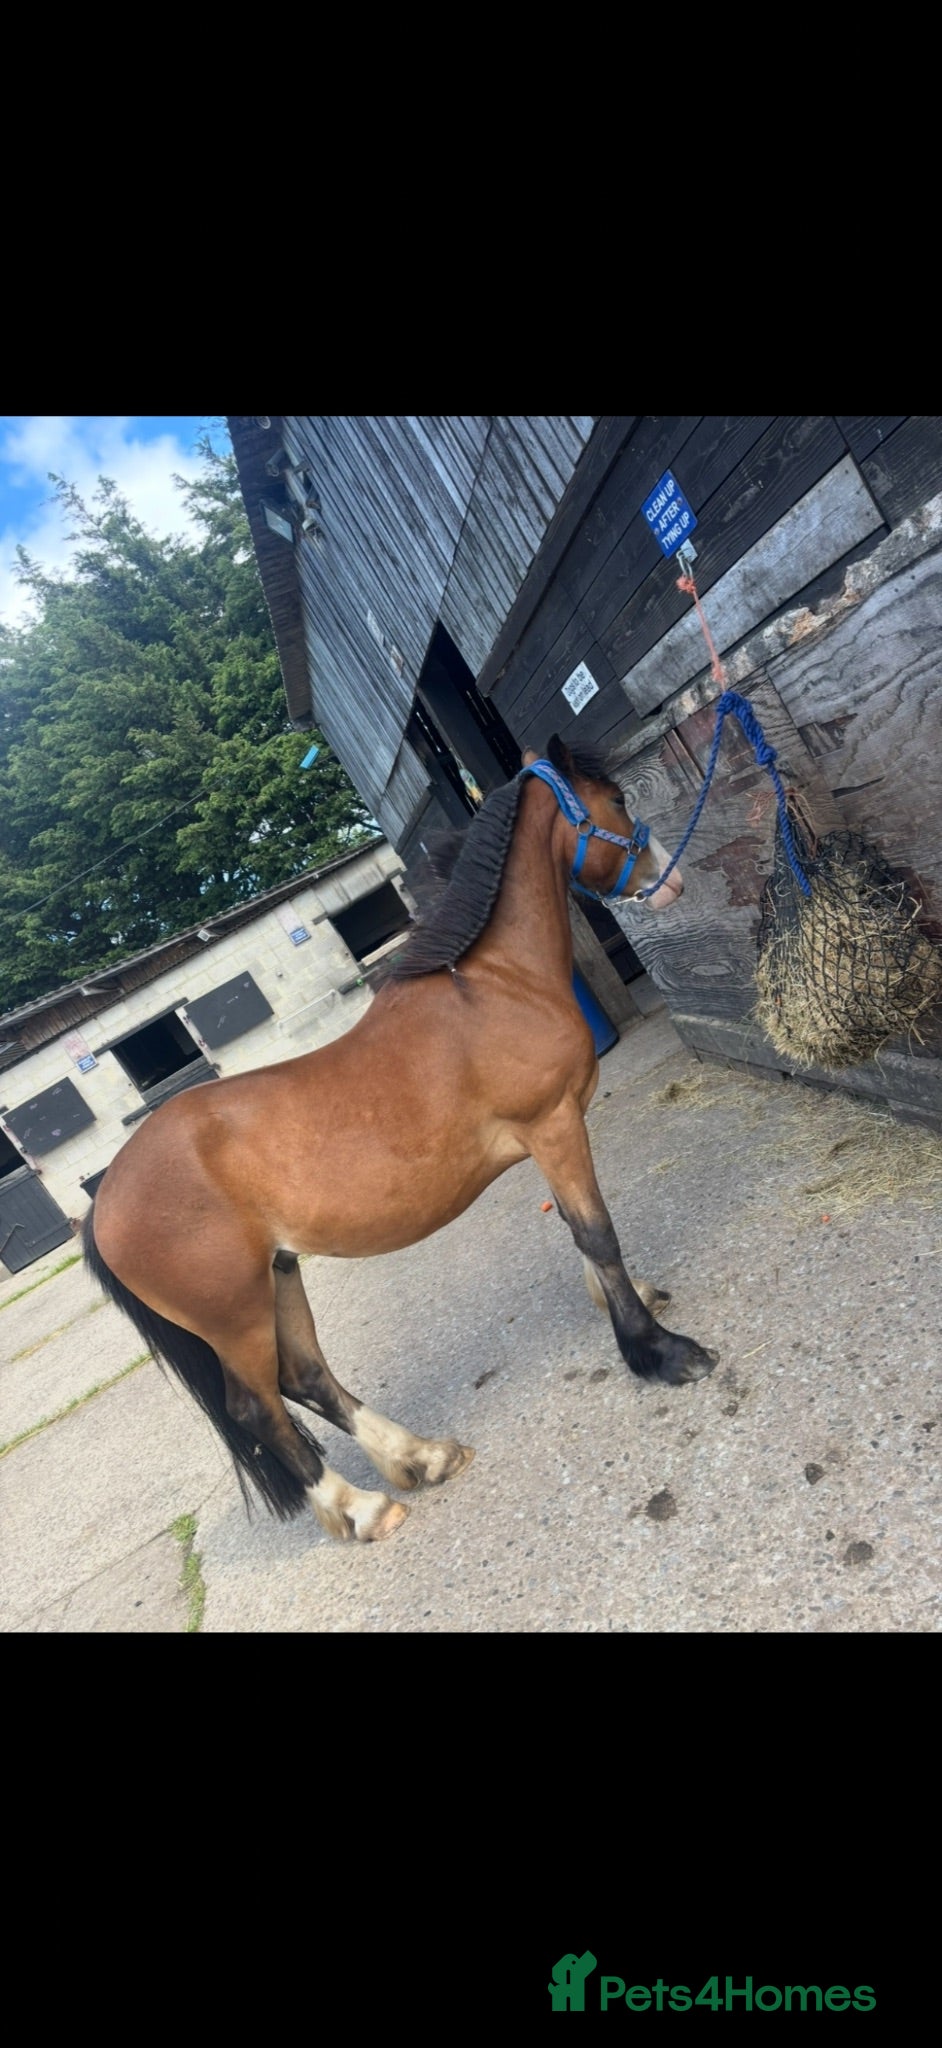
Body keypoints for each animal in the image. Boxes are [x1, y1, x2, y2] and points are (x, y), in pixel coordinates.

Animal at [84, 734, 717, 1543]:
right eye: (617, 802)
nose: (669, 877)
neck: (492, 982)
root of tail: (102, 1203)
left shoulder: (554, 1135)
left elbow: (583, 1234)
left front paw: (626, 1302)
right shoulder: (553, 1125)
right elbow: (595, 1232)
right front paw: (657, 1350)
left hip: (280, 1275)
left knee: (307, 1378)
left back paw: (421, 1456)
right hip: (234, 1315)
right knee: (259, 1407)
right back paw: (362, 1507)